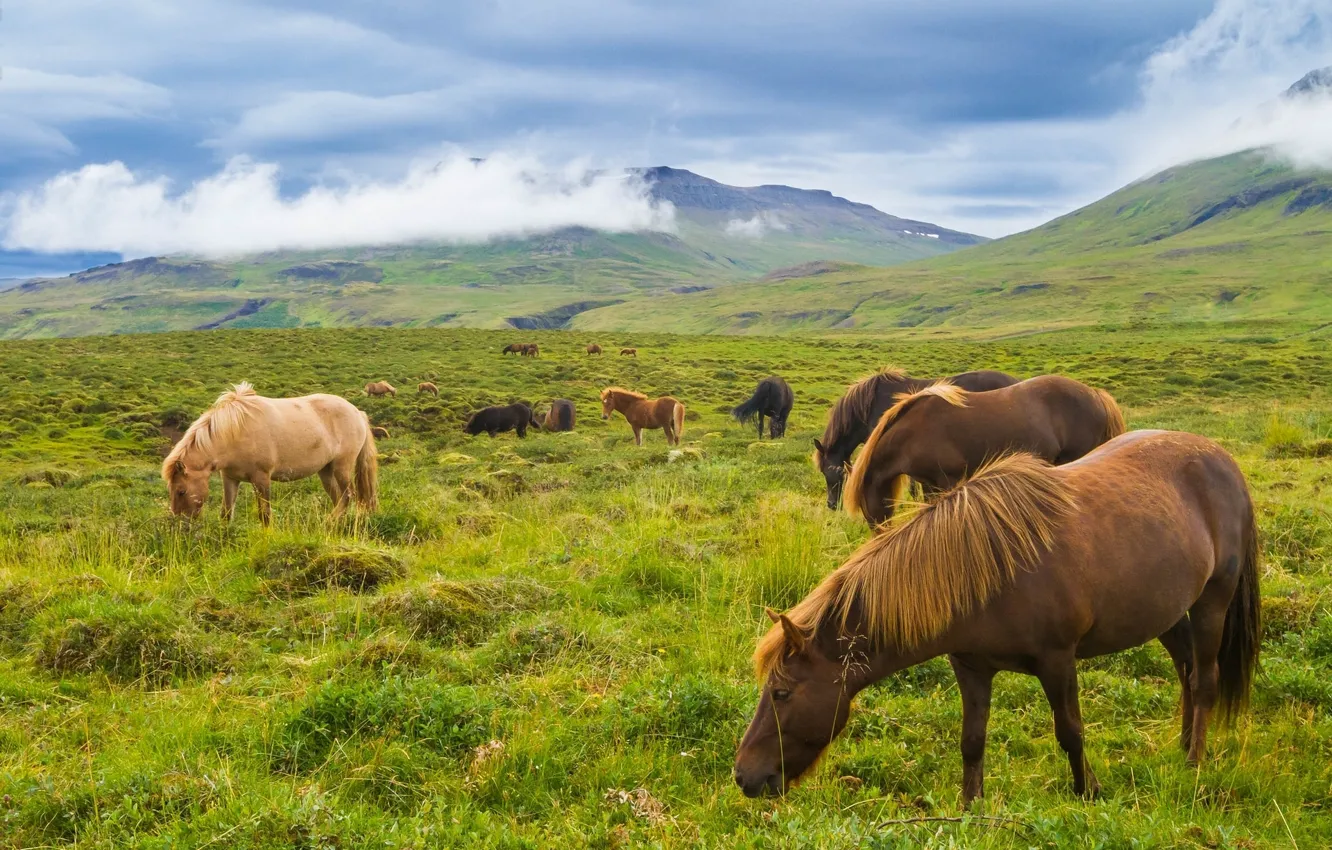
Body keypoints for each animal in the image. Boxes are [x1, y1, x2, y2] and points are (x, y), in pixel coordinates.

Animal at [162, 382, 378, 526]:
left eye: (181, 491)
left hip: (342, 466)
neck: (234, 432)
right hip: (325, 471)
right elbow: (226, 512)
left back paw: (329, 523)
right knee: (339, 499)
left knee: (348, 496)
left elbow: (265, 514)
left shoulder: (261, 478)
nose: (180, 525)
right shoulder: (230, 478)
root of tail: (357, 412)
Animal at [735, 431, 1260, 807]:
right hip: (1166, 612)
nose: (744, 775)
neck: (985, 570)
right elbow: (972, 740)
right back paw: (1182, 743)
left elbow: (1070, 731)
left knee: (1205, 679)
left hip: (1212, 602)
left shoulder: (1057, 661)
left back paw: (1193, 761)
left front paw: (1088, 792)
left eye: (781, 693)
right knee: (1186, 669)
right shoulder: (970, 667)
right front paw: (971, 806)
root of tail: (1221, 459)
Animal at [844, 375, 1125, 528]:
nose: (877, 533)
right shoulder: (930, 484)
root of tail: (1096, 395)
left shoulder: (948, 481)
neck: (914, 430)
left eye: (865, 508)